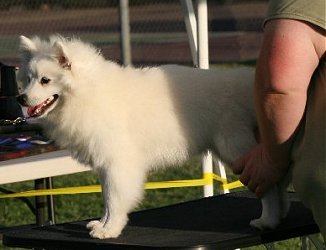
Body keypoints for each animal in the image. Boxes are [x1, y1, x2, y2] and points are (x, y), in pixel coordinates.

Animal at [16, 35, 290, 238]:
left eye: (45, 80)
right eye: (28, 79)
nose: (20, 98)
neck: (89, 93)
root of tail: (247, 83)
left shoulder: (118, 164)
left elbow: (115, 199)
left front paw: (110, 230)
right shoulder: (106, 165)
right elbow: (106, 198)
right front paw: (103, 224)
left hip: (236, 150)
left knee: (267, 186)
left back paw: (267, 220)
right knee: (277, 181)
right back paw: (280, 216)